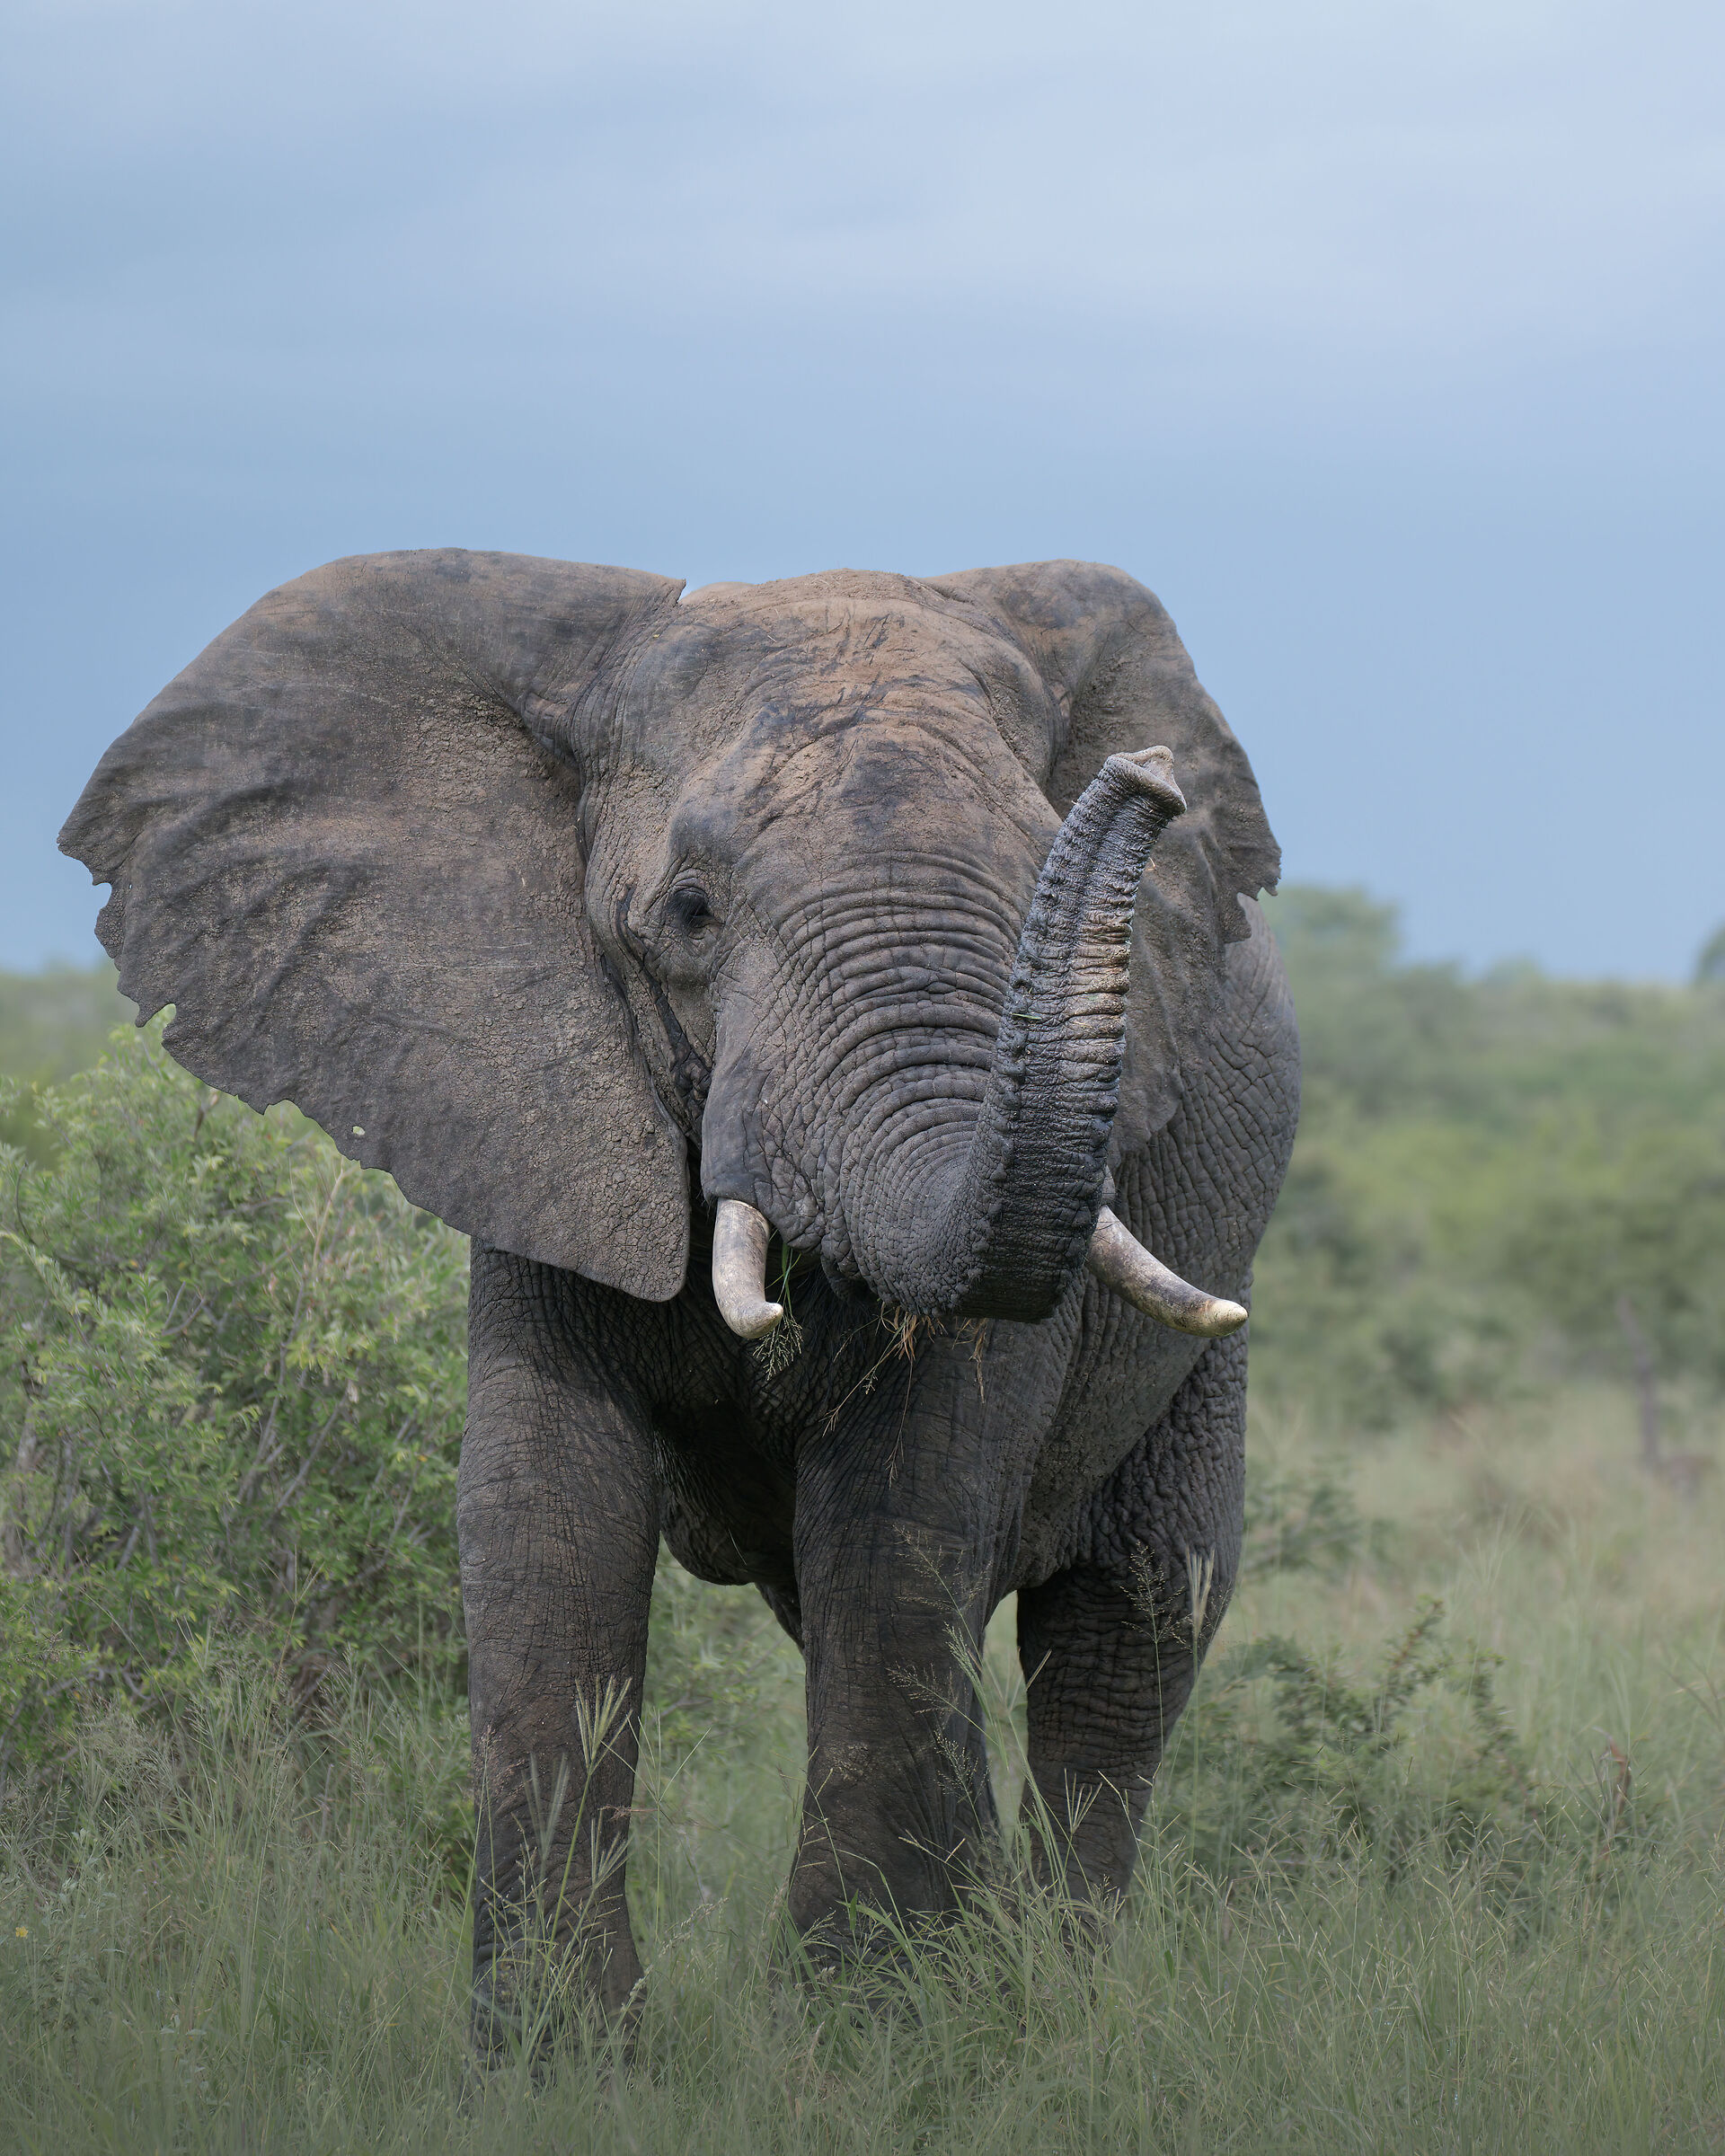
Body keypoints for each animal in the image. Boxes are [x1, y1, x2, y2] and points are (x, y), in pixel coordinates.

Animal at [61, 551, 1299, 2049]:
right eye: (692, 913)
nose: (1147, 781)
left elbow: (906, 1513)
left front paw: (866, 2036)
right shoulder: (530, 1111)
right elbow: (547, 1510)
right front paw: (561, 2056)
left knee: (1131, 1625)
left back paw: (1052, 1994)